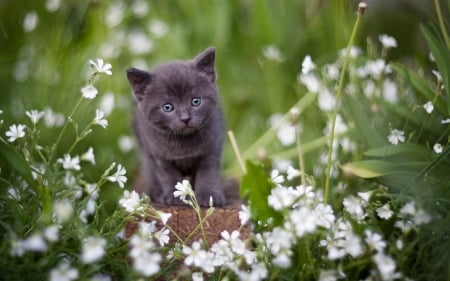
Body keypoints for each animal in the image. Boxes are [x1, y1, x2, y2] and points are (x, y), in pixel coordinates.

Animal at [125, 47, 225, 206]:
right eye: (167, 107)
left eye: (196, 101)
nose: (185, 118)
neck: (183, 142)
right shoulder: (159, 155)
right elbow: (167, 175)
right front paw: (174, 197)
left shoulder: (212, 148)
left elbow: (208, 173)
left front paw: (209, 196)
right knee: (149, 167)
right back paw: (154, 191)